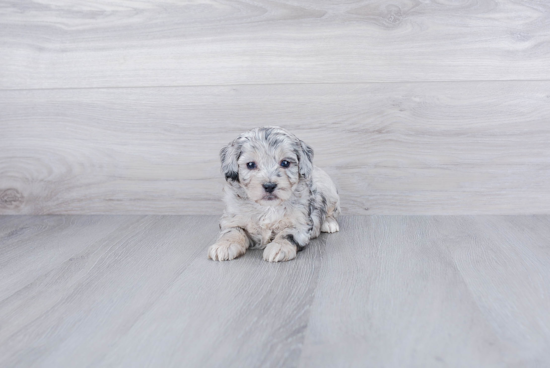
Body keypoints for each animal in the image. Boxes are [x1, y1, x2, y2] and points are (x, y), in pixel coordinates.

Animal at [209, 126, 340, 262]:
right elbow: (232, 231)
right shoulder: (232, 219)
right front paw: (223, 245)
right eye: (250, 164)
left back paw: (329, 223)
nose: (269, 186)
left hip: (330, 192)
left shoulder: (300, 223)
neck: (268, 207)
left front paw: (279, 247)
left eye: (285, 163)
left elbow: (288, 234)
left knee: (331, 211)